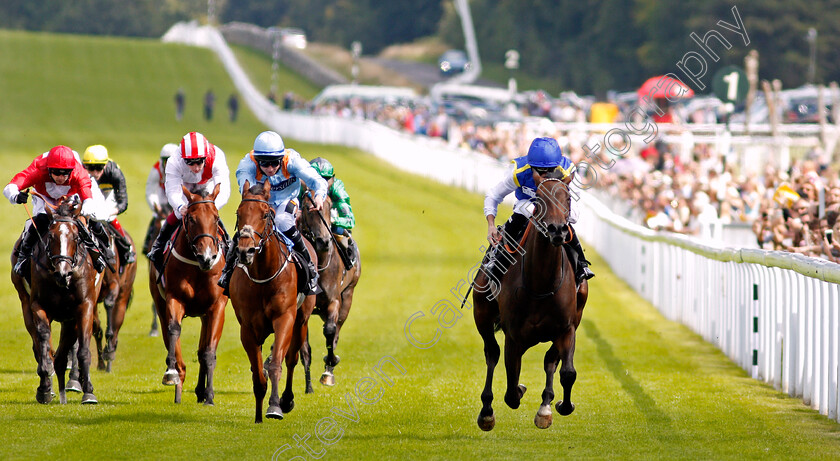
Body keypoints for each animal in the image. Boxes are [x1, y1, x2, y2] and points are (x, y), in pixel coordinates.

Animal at [10, 196, 101, 404]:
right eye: (50, 237)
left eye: (75, 237)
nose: (63, 272)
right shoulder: (38, 305)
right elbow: (43, 340)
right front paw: (44, 388)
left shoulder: (84, 306)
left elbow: (83, 349)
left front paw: (88, 391)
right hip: (25, 302)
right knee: (41, 346)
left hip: (71, 318)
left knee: (62, 354)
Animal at [151, 183, 228, 402]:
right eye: (191, 219)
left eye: (216, 218)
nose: (207, 257)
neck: (197, 266)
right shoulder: (174, 298)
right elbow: (174, 330)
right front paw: (172, 373)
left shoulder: (216, 306)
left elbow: (208, 351)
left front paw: (209, 395)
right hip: (160, 304)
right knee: (168, 334)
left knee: (202, 349)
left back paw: (201, 390)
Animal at [230, 179, 316, 420]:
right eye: (239, 213)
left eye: (265, 214)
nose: (246, 251)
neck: (263, 276)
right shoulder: (248, 328)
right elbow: (258, 374)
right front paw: (259, 416)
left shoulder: (284, 317)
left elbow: (278, 362)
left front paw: (275, 406)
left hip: (301, 320)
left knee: (292, 358)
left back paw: (287, 399)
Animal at [296, 189, 360, 386]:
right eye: (306, 208)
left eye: (330, 206)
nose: (324, 241)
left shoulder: (334, 301)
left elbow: (331, 330)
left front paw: (330, 363)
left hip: (348, 295)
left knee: (336, 331)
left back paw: (329, 370)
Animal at [472, 170, 584, 432]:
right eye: (539, 199)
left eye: (568, 198)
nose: (557, 230)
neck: (541, 284)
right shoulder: (514, 336)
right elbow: (511, 389)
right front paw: (518, 391)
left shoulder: (567, 328)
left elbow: (567, 372)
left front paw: (559, 405)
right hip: (481, 314)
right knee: (492, 353)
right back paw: (487, 411)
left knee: (550, 361)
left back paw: (546, 404)